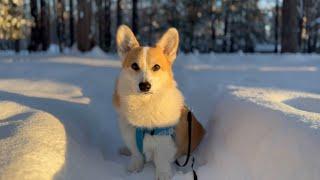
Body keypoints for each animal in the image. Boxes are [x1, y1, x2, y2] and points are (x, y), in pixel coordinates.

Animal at [112, 25, 205, 180]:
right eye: (134, 66)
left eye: (156, 67)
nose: (145, 86)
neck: (145, 103)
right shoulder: (131, 136)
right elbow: (137, 155)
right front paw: (134, 170)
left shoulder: (164, 142)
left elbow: (161, 160)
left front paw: (163, 175)